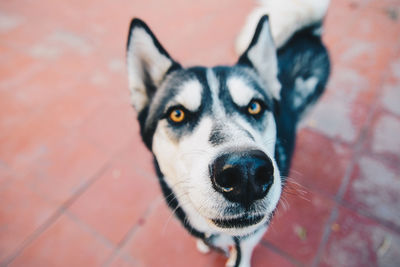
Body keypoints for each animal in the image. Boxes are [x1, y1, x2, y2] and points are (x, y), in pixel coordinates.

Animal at [126, 1, 330, 266]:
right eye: (177, 114)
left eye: (254, 106)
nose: (246, 172)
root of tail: (309, 31)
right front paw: (205, 245)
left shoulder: (254, 234)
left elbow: (244, 249)